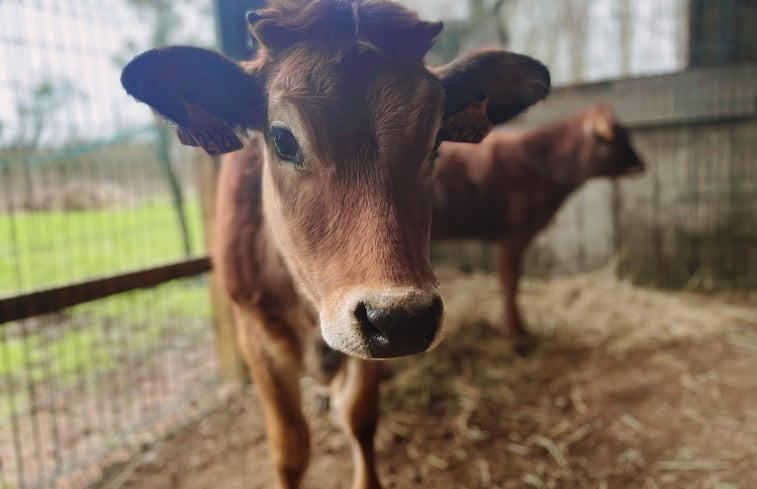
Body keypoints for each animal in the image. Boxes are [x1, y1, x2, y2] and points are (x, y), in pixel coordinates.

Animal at [122, 1, 548, 486]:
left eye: (436, 142)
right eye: (283, 140)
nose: (405, 320)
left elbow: (359, 416)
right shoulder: (256, 337)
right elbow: (290, 448)